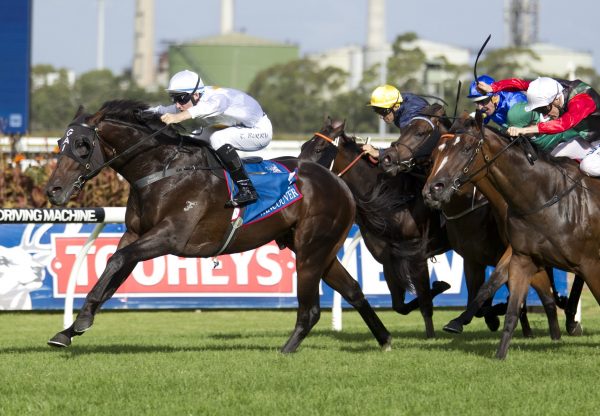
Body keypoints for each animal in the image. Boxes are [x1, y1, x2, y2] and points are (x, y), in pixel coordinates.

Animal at [44, 99, 392, 352]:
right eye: (61, 142)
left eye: (83, 145)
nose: (53, 190)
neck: (162, 170)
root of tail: (339, 182)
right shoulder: (134, 234)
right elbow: (113, 271)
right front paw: (69, 329)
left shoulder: (169, 236)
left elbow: (116, 261)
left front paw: (79, 323)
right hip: (319, 248)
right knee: (353, 290)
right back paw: (385, 340)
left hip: (312, 248)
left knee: (311, 309)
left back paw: (286, 350)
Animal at [300, 118, 454, 338]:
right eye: (303, 146)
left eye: (319, 148)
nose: (298, 173)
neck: (392, 202)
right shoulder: (388, 259)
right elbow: (399, 306)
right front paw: (442, 284)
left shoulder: (417, 255)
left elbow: (425, 303)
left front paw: (431, 337)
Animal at [380, 104, 580, 338]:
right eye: (438, 151)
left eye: (420, 132)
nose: (387, 158)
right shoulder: (472, 259)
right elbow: (479, 297)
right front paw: (476, 318)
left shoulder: (514, 249)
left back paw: (570, 317)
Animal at [426, 115, 596, 360]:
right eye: (434, 155)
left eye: (466, 149)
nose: (432, 189)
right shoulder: (504, 254)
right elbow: (490, 287)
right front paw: (463, 320)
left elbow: (499, 281)